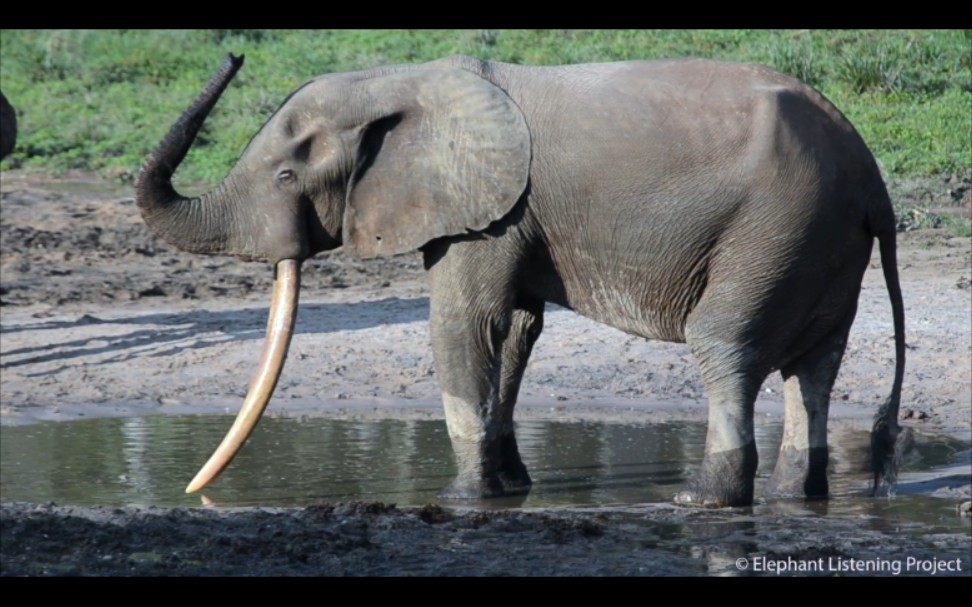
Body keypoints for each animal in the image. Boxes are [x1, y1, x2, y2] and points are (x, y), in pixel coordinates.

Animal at [133, 53, 908, 508]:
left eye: (287, 177)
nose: (233, 55)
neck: (398, 79)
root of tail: (872, 178)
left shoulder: (486, 214)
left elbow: (463, 324)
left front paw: (458, 500)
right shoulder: (510, 215)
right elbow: (517, 329)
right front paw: (510, 488)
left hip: (776, 226)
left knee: (724, 343)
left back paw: (702, 501)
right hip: (820, 245)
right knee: (815, 365)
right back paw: (797, 498)